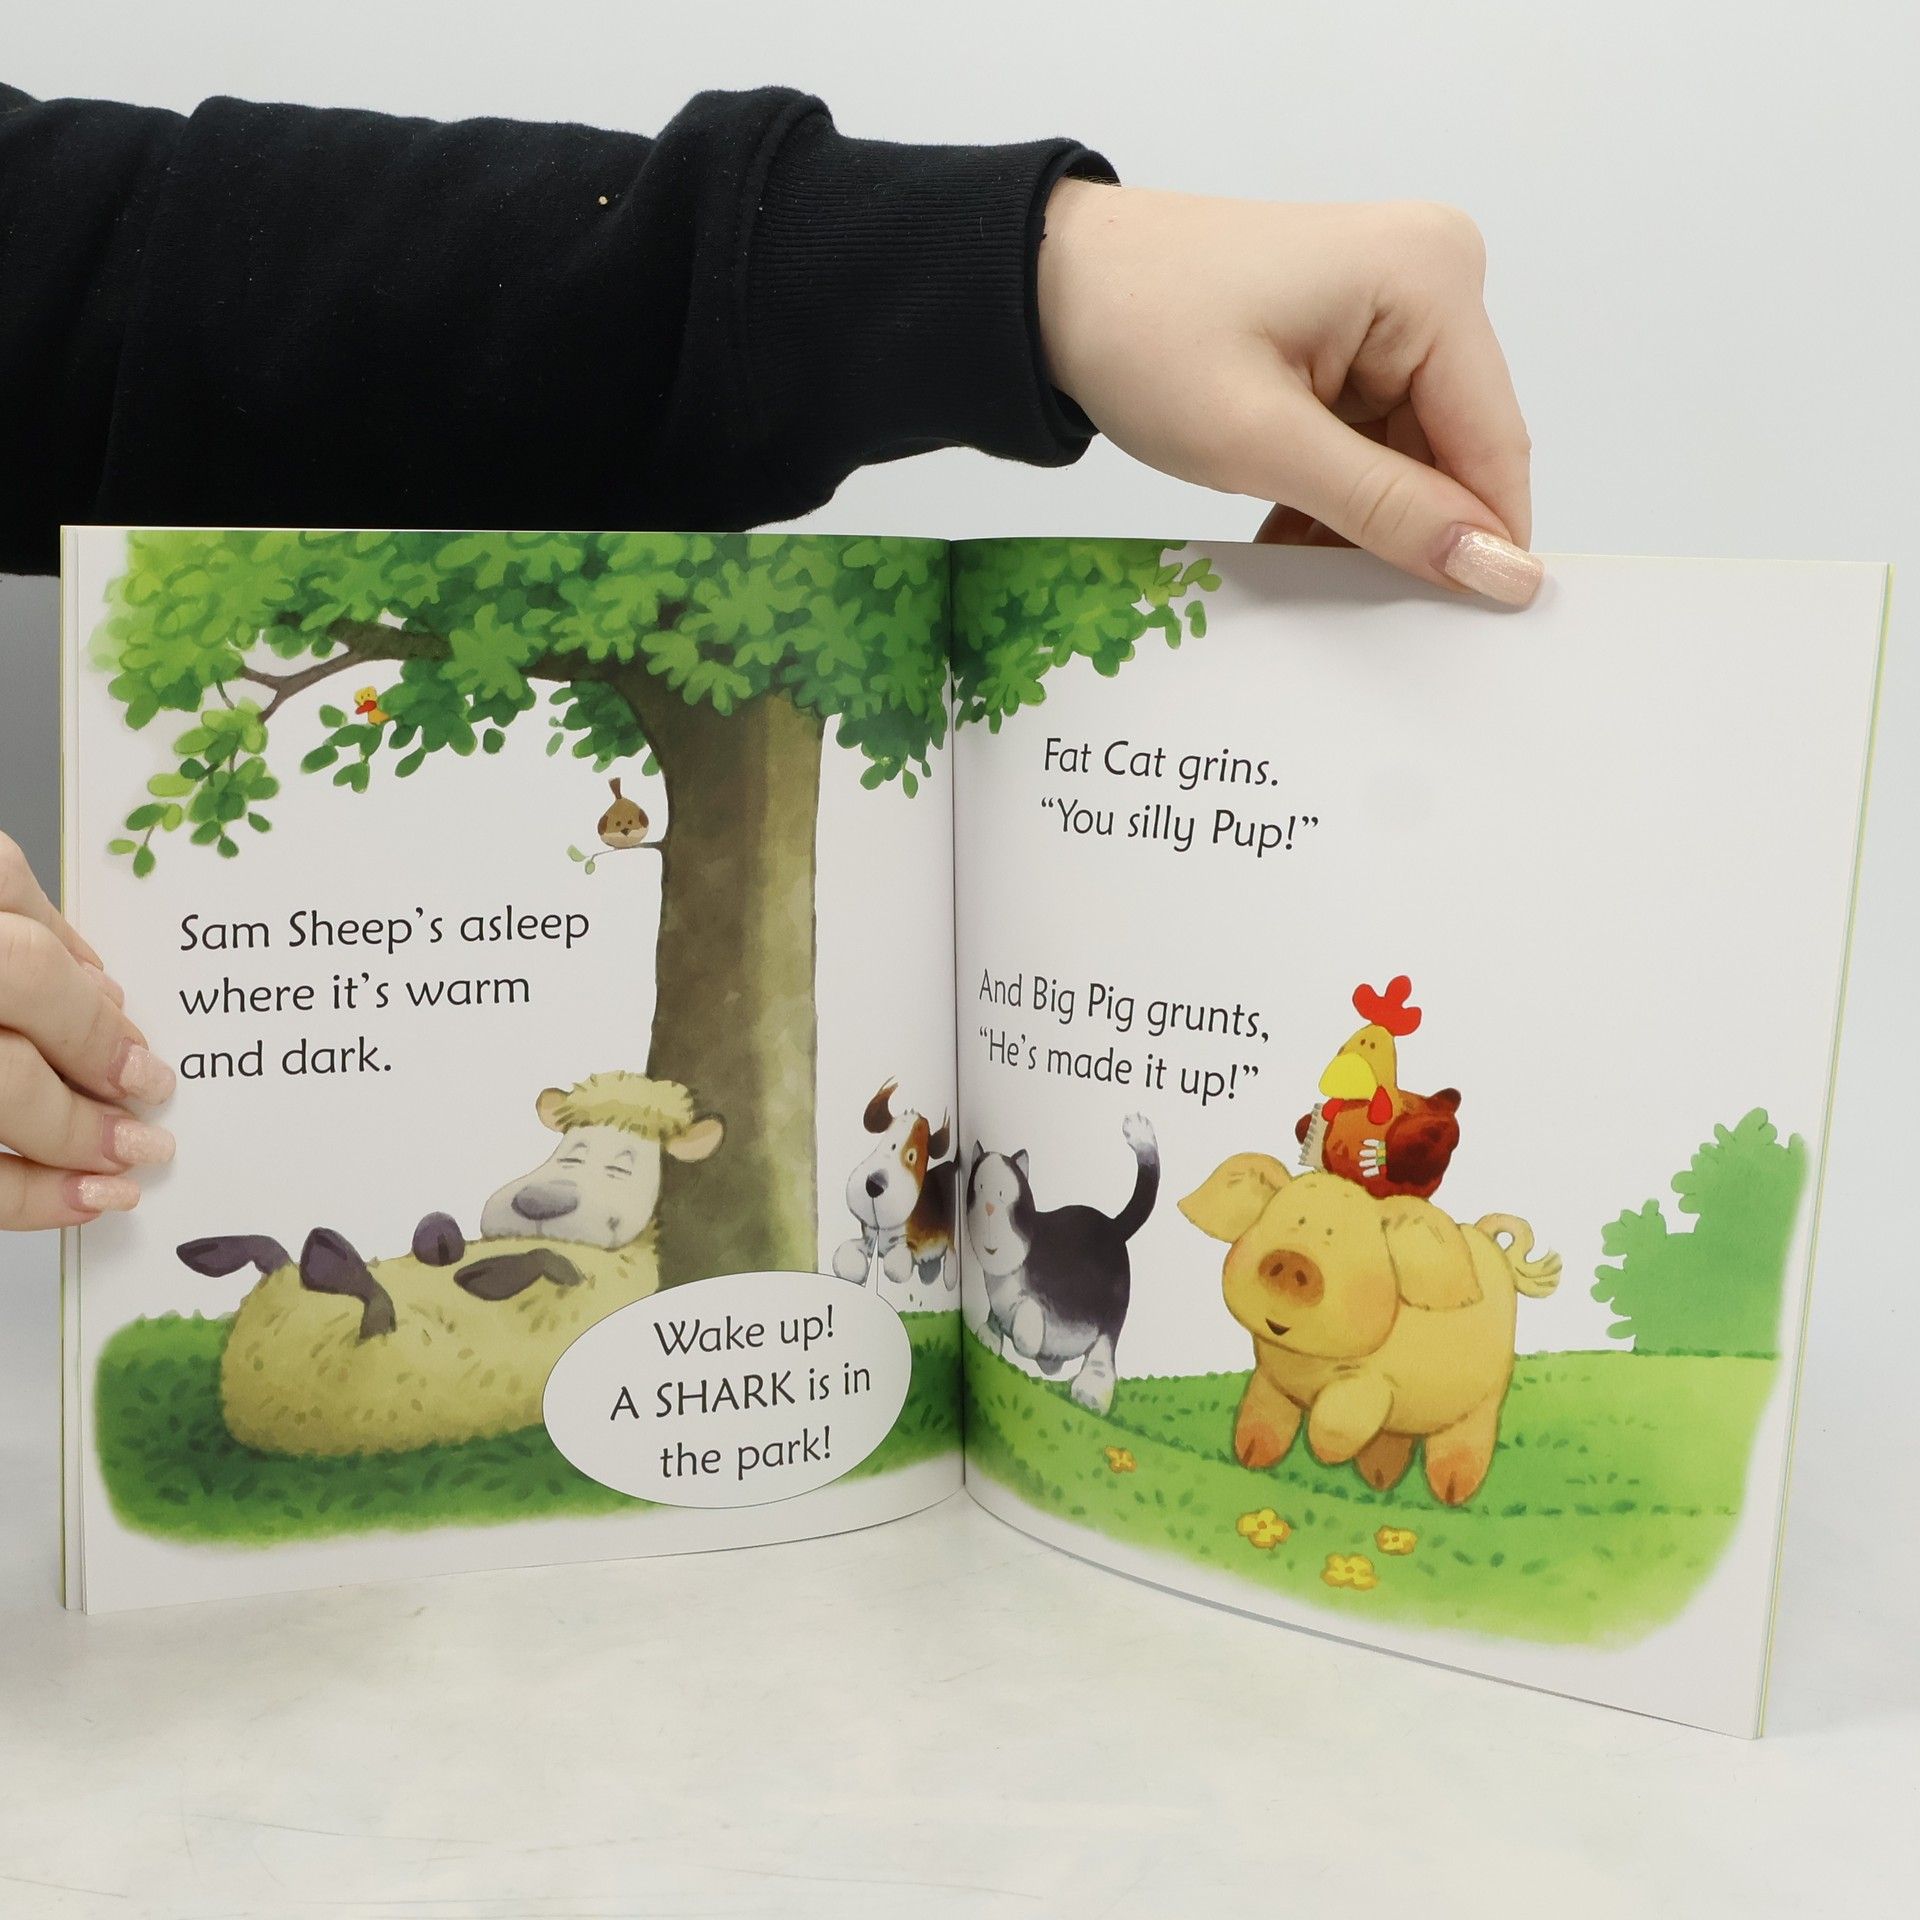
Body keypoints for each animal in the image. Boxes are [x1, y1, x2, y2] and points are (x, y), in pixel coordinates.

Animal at [832, 1081, 957, 1290]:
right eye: (886, 1143)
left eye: (912, 1156)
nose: (873, 1186)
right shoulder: (869, 1239)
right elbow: (846, 1254)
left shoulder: (910, 1243)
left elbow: (898, 1261)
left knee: (951, 1251)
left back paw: (949, 1277)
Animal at [1180, 1154, 1559, 1505]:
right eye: (1283, 1221)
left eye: (1343, 1238)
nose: (1290, 1261)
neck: (1307, 1363)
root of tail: (1487, 1239)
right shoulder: (1270, 1376)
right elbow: (1263, 1415)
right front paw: (1250, 1457)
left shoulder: (1375, 1384)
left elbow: (1341, 1415)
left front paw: (1325, 1454)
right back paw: (1379, 1480)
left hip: (1486, 1396)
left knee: (1463, 1437)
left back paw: (1451, 1493)